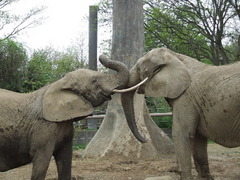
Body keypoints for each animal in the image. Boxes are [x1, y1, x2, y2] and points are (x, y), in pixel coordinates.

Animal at [0, 54, 131, 180]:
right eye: (94, 81)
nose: (102, 56)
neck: (60, 83)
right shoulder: (44, 128)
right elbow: (41, 162)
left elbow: (65, 159)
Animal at [121, 48, 240, 180]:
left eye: (138, 68)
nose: (145, 139)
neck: (175, 56)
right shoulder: (195, 103)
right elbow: (198, 137)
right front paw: (204, 179)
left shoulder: (185, 98)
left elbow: (181, 134)